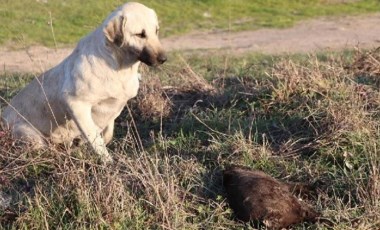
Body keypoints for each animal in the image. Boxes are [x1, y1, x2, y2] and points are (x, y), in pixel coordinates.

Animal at [1, 2, 166, 163]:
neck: (117, 65)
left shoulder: (112, 110)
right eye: (140, 34)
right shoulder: (76, 104)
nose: (163, 59)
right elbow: (95, 139)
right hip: (30, 136)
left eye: (156, 31)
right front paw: (107, 162)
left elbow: (107, 134)